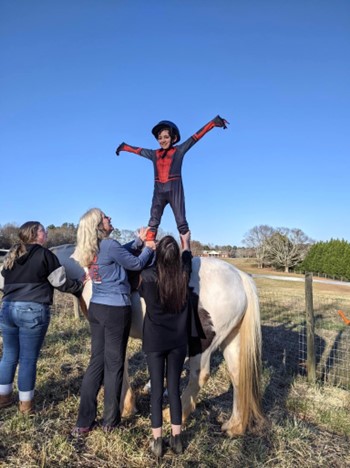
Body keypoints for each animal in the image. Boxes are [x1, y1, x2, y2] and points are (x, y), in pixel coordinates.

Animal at [52, 245, 264, 436]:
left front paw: (125, 407)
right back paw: (234, 426)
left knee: (200, 375)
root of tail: (239, 277)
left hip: (203, 344)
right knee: (237, 376)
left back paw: (174, 415)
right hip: (231, 340)